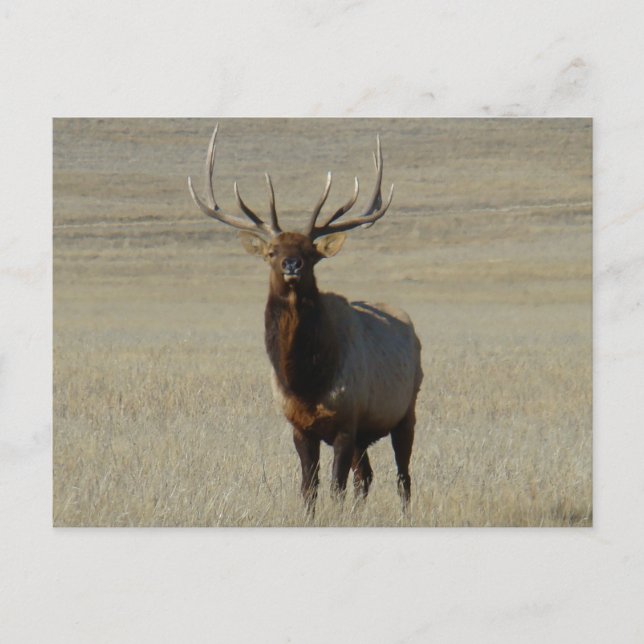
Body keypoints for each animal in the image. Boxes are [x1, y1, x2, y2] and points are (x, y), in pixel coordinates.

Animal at [188, 124, 423, 514]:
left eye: (311, 253)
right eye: (271, 251)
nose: (292, 264)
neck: (306, 380)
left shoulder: (346, 422)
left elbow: (335, 488)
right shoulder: (299, 426)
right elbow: (308, 488)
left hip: (406, 410)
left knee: (402, 477)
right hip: (366, 434)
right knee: (366, 477)